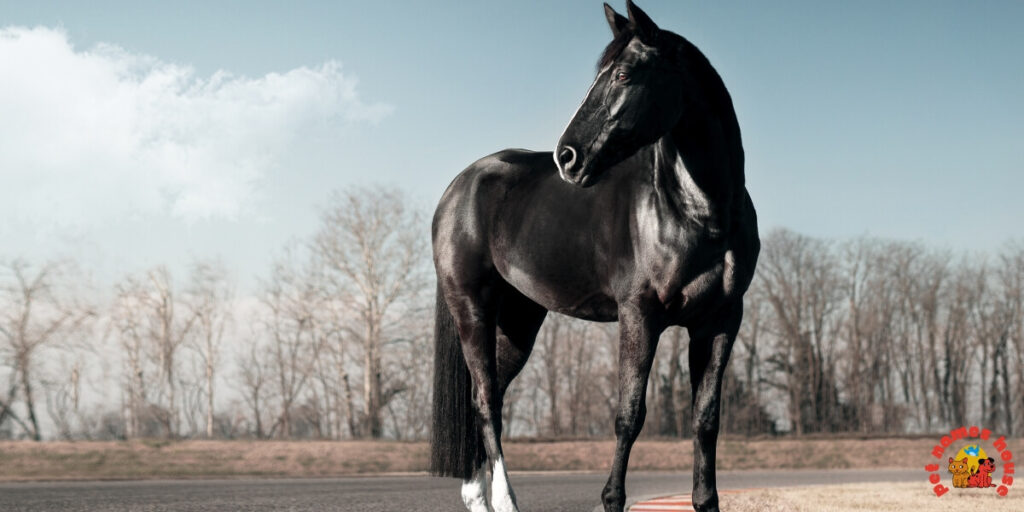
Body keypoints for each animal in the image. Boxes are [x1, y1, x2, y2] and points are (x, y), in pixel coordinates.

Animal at [429, 2, 759, 511]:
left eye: (623, 74)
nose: (567, 157)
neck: (700, 211)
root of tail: (458, 187)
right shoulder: (639, 314)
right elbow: (629, 415)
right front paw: (611, 498)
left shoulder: (721, 320)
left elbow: (706, 418)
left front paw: (705, 500)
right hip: (472, 307)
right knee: (485, 401)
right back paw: (503, 499)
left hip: (519, 320)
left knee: (489, 397)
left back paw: (476, 496)